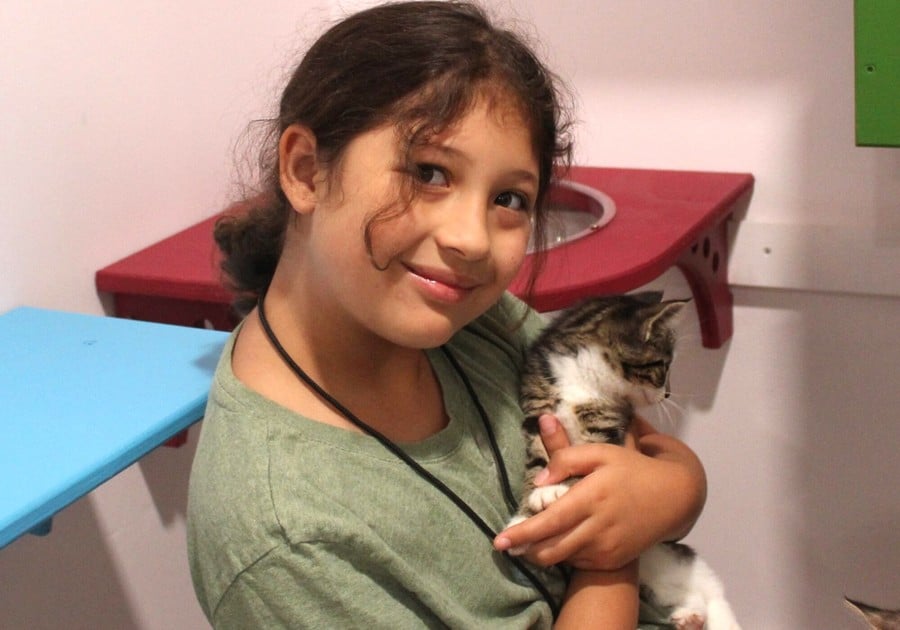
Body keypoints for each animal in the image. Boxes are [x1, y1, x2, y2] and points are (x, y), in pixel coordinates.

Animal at [510, 294, 740, 630]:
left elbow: (585, 469)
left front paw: (554, 492)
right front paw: (525, 517)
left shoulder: (605, 431)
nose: (668, 393)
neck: (585, 378)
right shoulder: (538, 414)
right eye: (663, 366)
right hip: (657, 582)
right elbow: (538, 463)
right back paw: (689, 616)